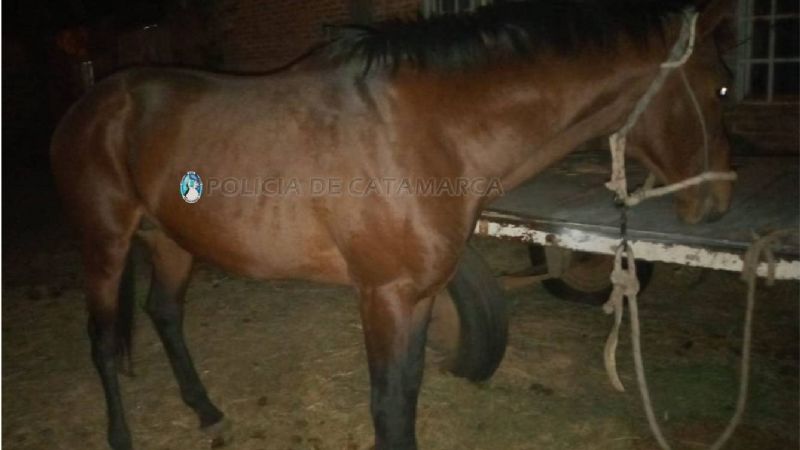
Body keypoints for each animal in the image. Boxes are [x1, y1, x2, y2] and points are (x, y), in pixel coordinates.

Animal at [50, 0, 736, 448]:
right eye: (722, 87)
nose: (719, 202)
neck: (426, 132)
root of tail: (92, 103)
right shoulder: (385, 296)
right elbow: (388, 406)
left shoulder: (422, 295)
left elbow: (405, 396)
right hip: (105, 243)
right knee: (102, 342)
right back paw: (121, 436)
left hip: (169, 240)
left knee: (164, 315)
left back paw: (207, 411)